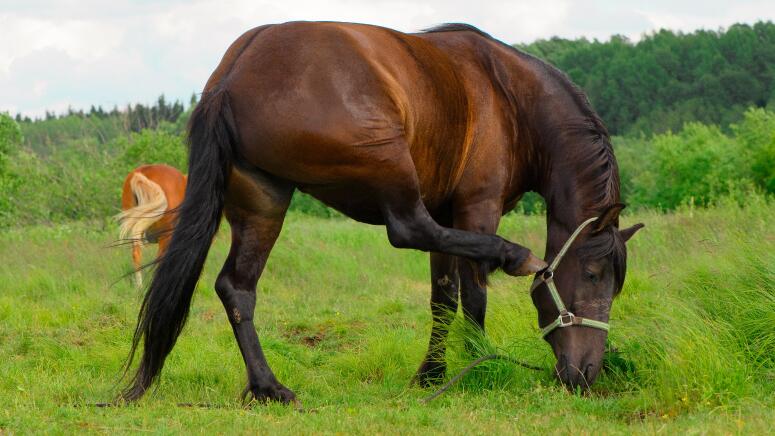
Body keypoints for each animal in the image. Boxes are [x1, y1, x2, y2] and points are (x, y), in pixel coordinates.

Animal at [121, 22, 644, 404]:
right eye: (594, 274)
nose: (587, 373)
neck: (511, 97)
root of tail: (233, 74)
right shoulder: (477, 207)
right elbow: (473, 294)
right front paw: (478, 361)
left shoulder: (447, 211)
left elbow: (443, 297)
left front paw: (433, 374)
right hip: (387, 159)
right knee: (405, 228)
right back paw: (514, 254)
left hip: (264, 200)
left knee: (237, 288)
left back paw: (268, 387)